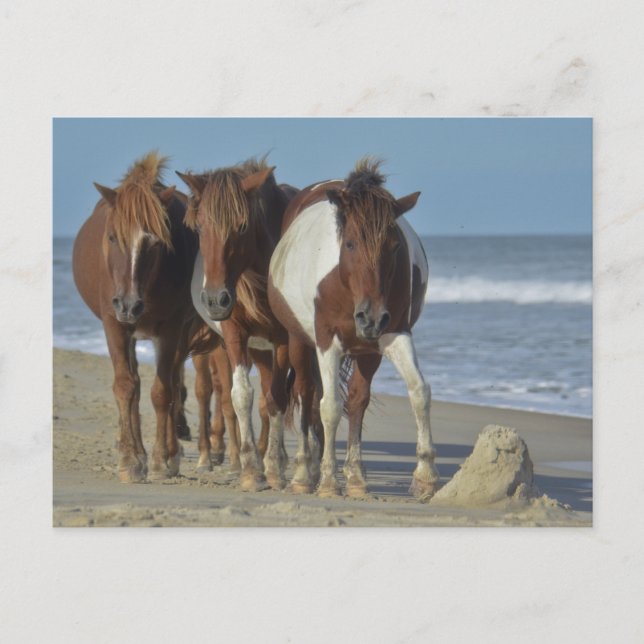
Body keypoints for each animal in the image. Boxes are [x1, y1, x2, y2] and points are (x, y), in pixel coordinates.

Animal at [72, 152, 203, 482]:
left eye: (155, 242)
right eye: (111, 237)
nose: (129, 305)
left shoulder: (170, 329)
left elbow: (162, 391)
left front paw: (160, 460)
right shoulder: (114, 325)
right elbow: (125, 386)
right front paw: (130, 460)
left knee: (172, 383)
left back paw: (170, 453)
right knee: (134, 384)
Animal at [177, 158, 321, 492]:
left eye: (242, 227)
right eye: (200, 227)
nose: (215, 300)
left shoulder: (284, 339)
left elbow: (278, 399)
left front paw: (274, 468)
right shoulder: (235, 335)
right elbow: (242, 395)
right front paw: (251, 470)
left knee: (300, 394)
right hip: (258, 348)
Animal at [267, 158, 441, 499]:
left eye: (394, 246)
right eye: (349, 243)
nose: (370, 317)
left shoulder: (392, 335)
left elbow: (418, 391)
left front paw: (424, 477)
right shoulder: (326, 341)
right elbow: (330, 407)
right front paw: (328, 482)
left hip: (366, 351)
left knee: (356, 399)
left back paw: (353, 476)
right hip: (298, 342)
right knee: (305, 394)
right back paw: (303, 473)